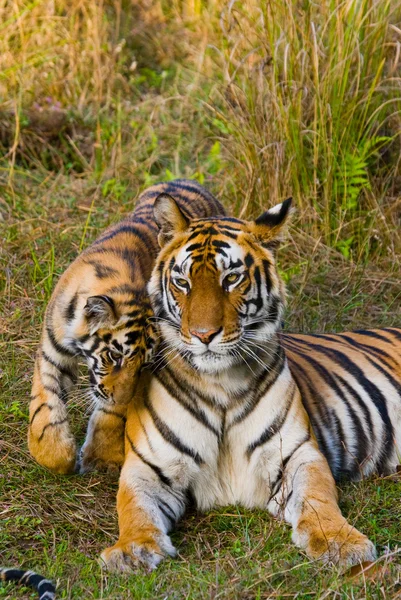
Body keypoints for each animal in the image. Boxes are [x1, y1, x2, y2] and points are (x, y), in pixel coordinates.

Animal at [27, 178, 223, 474]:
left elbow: (112, 414)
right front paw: (55, 455)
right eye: (114, 356)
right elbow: (44, 401)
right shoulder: (52, 351)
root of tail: (187, 180)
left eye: (144, 365)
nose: (120, 398)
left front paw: (100, 457)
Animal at [99, 195, 396, 568]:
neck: (219, 385)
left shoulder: (298, 453)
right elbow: (133, 508)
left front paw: (341, 542)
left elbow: (318, 499)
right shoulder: (148, 467)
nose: (203, 335)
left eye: (231, 278)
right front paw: (131, 550)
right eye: (182, 282)